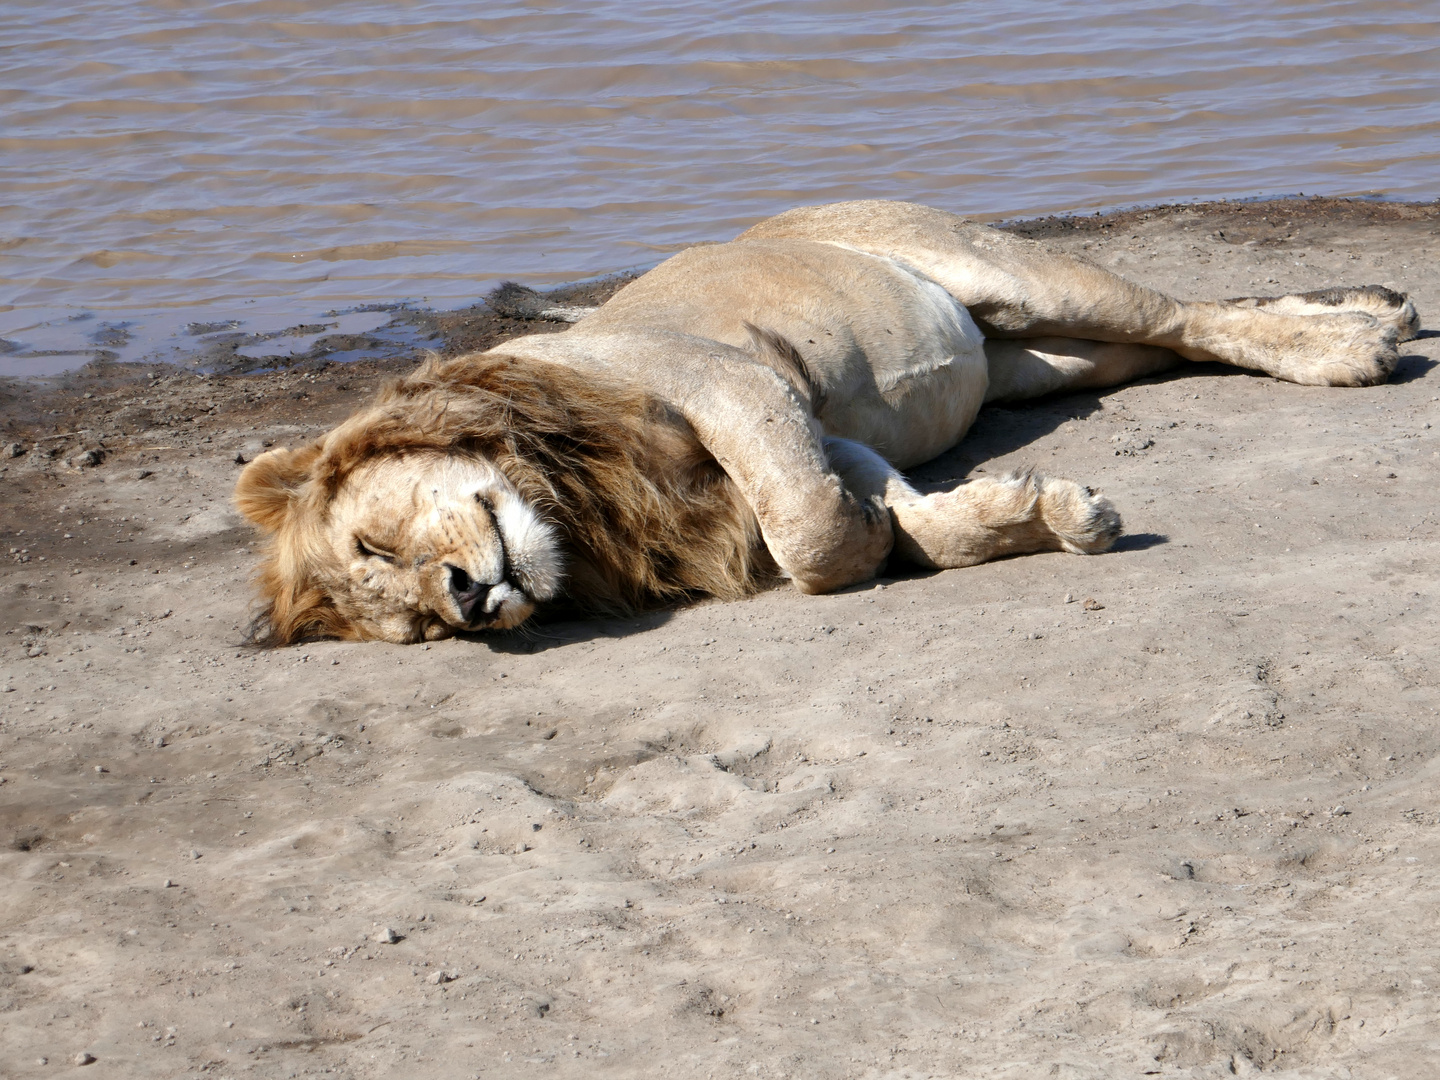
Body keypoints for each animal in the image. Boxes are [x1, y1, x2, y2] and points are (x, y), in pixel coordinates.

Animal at [233, 201, 1416, 642]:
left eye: (373, 543)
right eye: (416, 628)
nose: (469, 603)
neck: (575, 493)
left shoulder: (735, 386)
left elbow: (813, 538)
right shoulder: (821, 429)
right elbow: (888, 514)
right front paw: (1038, 514)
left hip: (1013, 273)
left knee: (1189, 313)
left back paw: (1360, 339)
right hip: (1040, 360)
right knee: (1179, 343)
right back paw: (1368, 312)